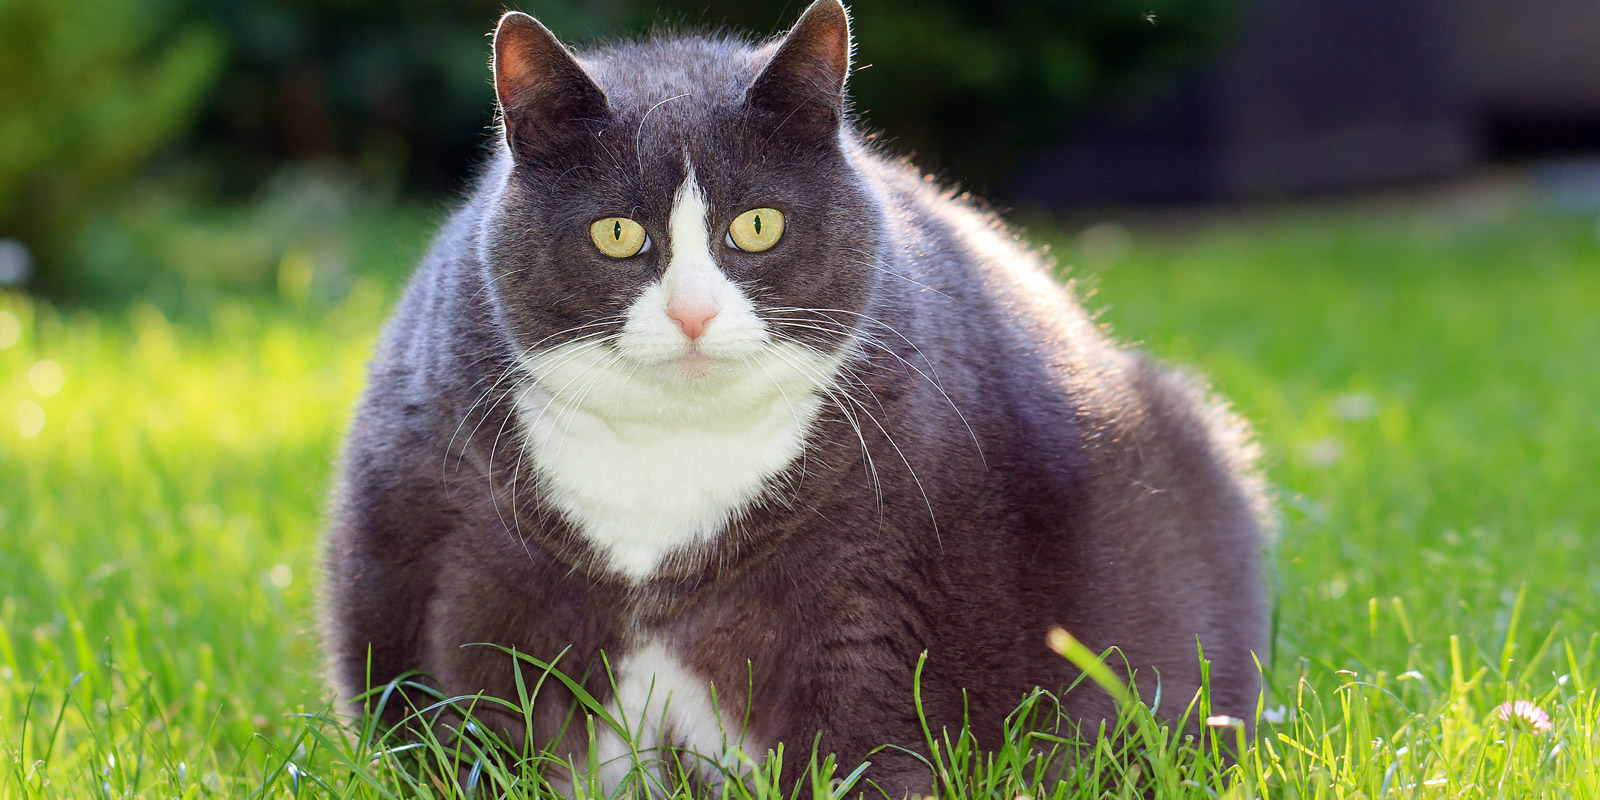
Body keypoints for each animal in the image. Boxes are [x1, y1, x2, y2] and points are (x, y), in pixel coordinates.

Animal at [321, 0, 1273, 793]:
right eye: (618, 233)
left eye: (758, 225)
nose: (694, 313)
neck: (670, 460)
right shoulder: (469, 568)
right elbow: (481, 723)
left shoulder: (872, 593)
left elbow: (866, 745)